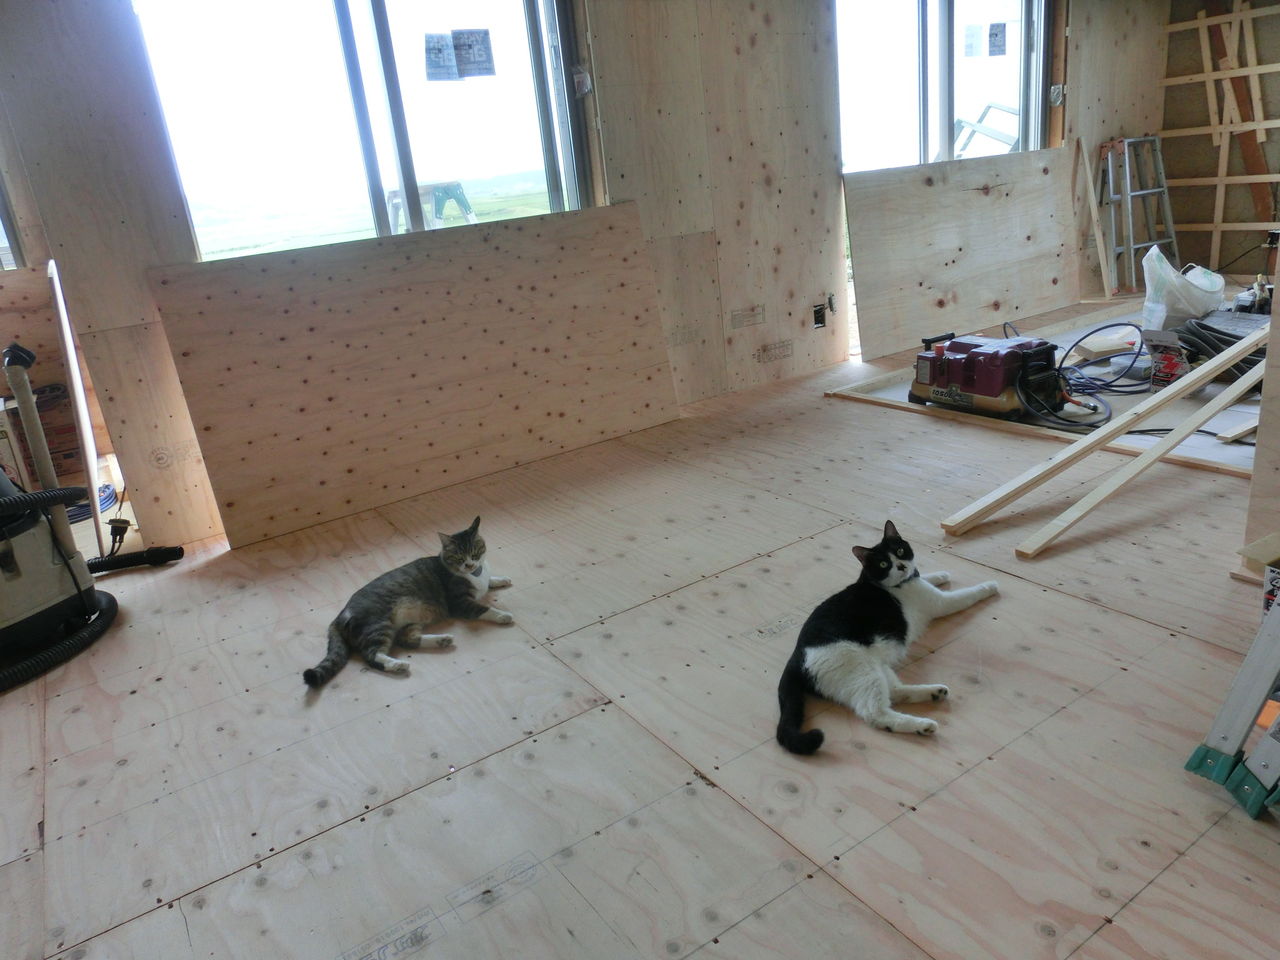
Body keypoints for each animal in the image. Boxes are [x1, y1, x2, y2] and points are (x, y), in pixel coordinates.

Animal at [302, 516, 513, 687]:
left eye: (475, 551)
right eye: (458, 556)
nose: (469, 564)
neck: (475, 574)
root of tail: (339, 615)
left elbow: (490, 580)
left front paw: (501, 579)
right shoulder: (460, 603)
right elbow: (484, 609)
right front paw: (503, 615)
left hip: (410, 620)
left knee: (407, 640)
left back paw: (441, 640)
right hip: (379, 625)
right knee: (371, 655)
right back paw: (398, 664)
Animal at [775, 520, 998, 754]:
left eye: (899, 551)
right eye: (883, 564)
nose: (900, 566)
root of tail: (795, 659)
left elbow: (926, 576)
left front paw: (941, 574)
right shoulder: (941, 602)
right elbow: (968, 594)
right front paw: (990, 586)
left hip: (878, 667)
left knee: (895, 692)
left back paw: (934, 692)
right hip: (864, 671)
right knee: (876, 713)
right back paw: (923, 725)